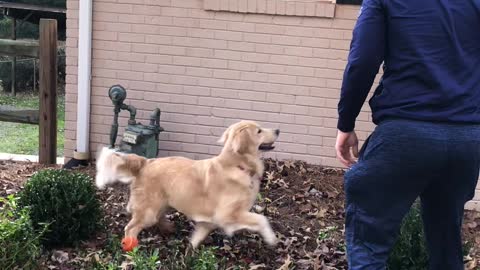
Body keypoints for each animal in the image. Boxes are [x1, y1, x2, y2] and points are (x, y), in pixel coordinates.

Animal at [95, 120, 280, 251]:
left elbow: (198, 236)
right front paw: (272, 239)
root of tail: (145, 162)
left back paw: (168, 228)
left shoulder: (210, 220)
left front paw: (190, 252)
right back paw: (132, 249)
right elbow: (262, 219)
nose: (278, 130)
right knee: (131, 228)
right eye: (259, 131)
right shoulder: (228, 214)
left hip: (162, 204)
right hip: (149, 211)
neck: (236, 165)